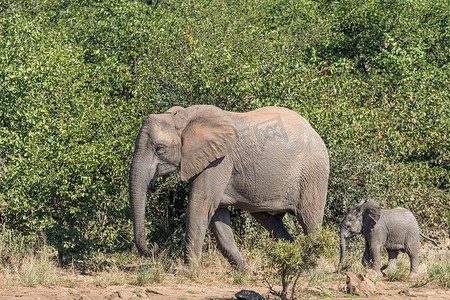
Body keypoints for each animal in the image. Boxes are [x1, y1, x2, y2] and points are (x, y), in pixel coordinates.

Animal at [128, 105, 328, 270]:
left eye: (160, 149)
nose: (154, 247)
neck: (183, 118)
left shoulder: (219, 161)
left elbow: (200, 205)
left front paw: (185, 272)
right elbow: (217, 215)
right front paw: (246, 272)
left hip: (313, 174)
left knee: (310, 221)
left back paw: (309, 273)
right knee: (271, 221)